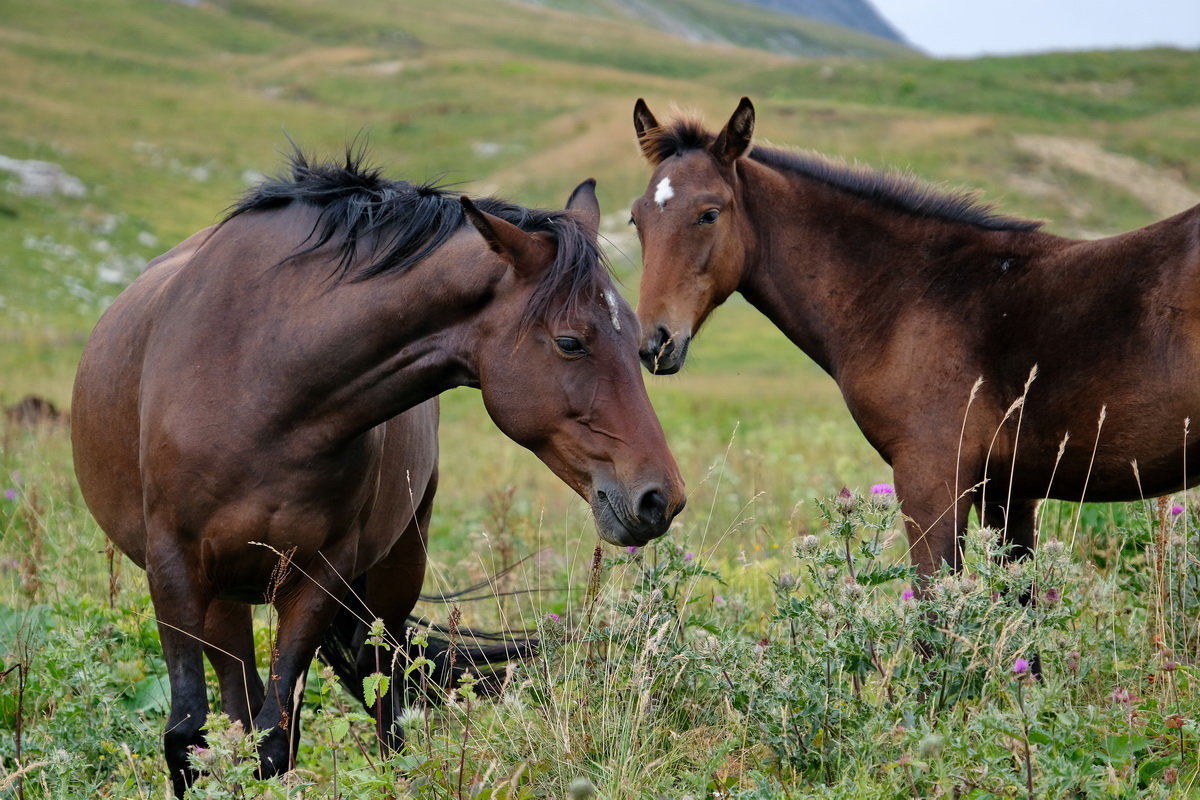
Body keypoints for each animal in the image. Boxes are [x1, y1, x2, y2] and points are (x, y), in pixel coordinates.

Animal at [72, 148, 686, 796]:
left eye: (636, 342)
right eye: (570, 342)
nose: (659, 498)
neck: (260, 373)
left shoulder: (318, 576)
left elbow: (276, 738)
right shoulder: (174, 566)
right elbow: (188, 736)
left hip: (395, 568)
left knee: (384, 699)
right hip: (223, 597)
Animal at [628, 95, 1200, 582]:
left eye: (709, 213)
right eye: (636, 219)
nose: (655, 342)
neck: (908, 294)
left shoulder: (931, 480)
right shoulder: (1008, 493)